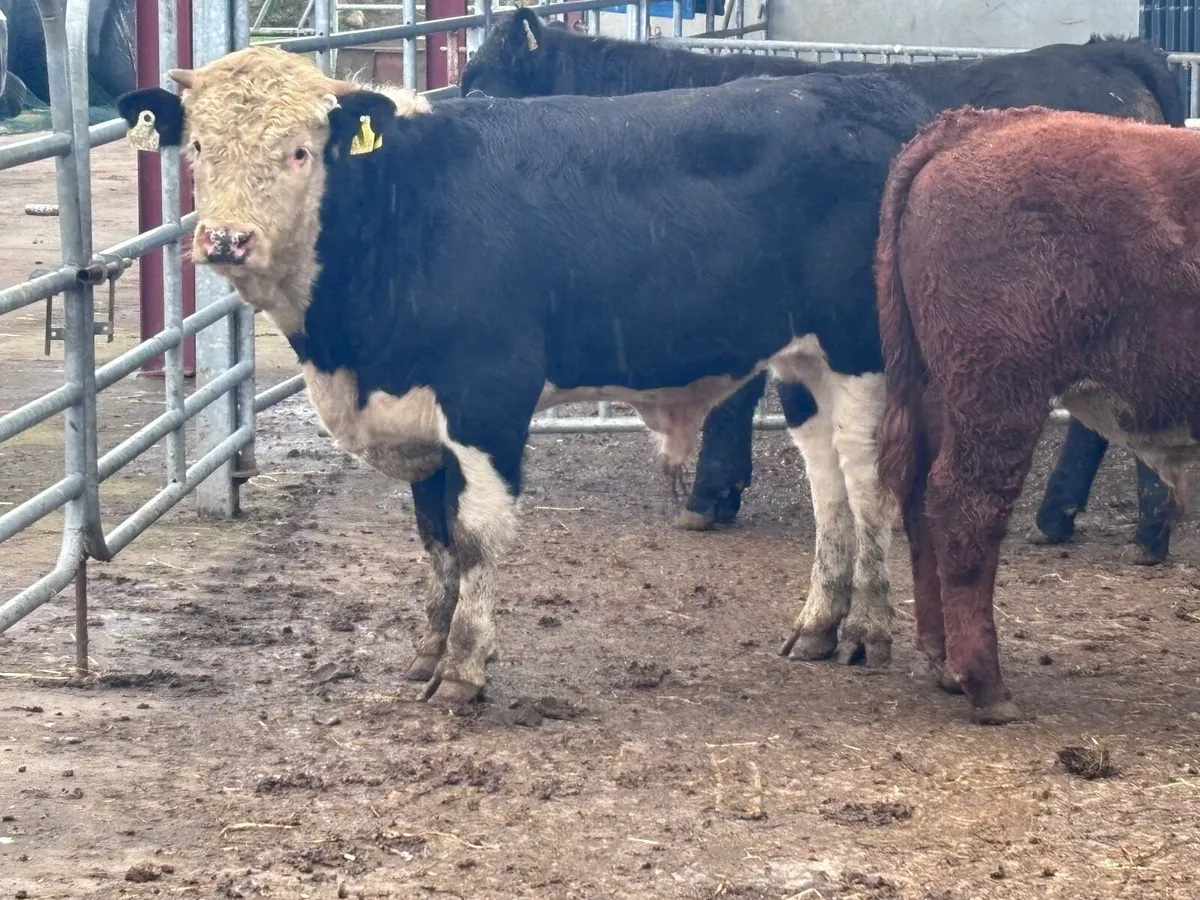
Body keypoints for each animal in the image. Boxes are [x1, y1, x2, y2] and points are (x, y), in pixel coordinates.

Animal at [115, 46, 936, 705]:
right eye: (196, 147)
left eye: (299, 153)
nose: (226, 239)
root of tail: (876, 96)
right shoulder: (423, 420)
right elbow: (435, 537)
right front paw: (426, 654)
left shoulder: (488, 397)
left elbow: (475, 537)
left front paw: (463, 670)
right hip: (804, 362)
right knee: (828, 484)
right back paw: (818, 625)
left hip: (862, 352)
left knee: (867, 482)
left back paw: (866, 629)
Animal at [875, 105, 1198, 725]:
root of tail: (974, 128)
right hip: (999, 398)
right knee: (964, 506)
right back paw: (986, 688)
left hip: (940, 393)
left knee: (922, 502)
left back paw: (943, 662)